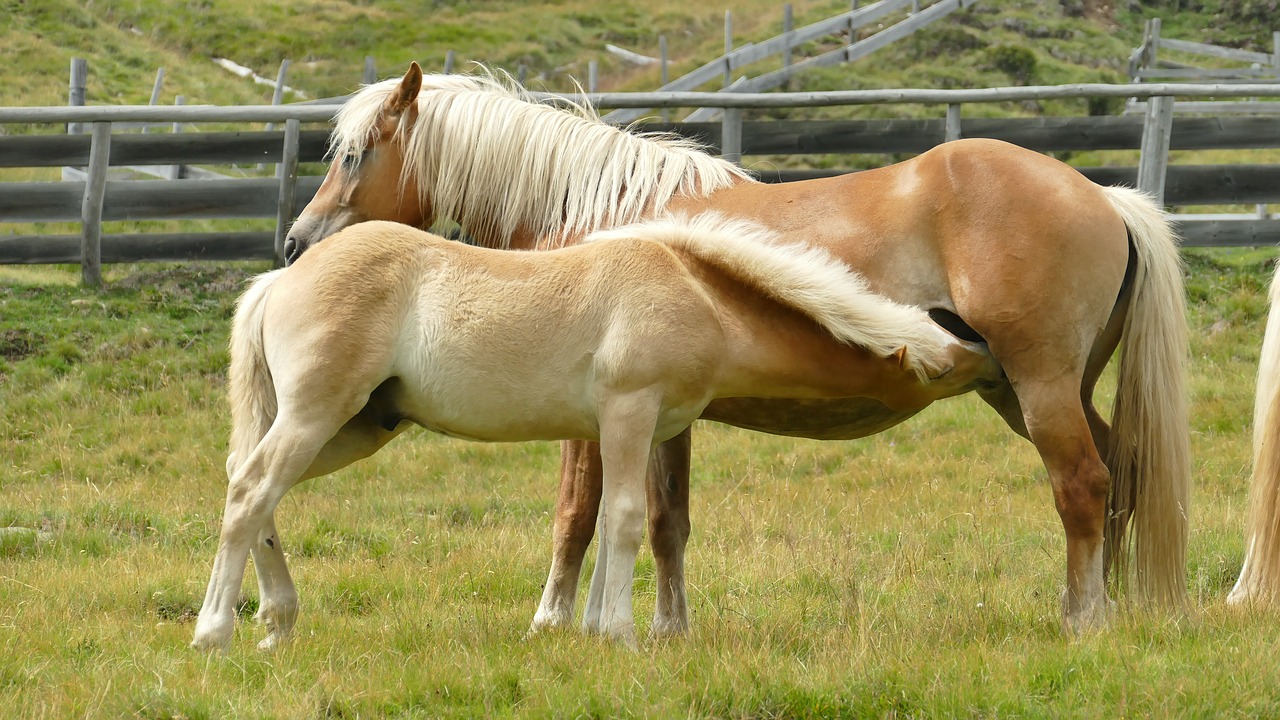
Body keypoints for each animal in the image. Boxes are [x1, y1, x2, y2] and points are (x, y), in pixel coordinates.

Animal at [282, 61, 1187, 632]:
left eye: (355, 155)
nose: (297, 244)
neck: (604, 214)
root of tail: (1102, 197)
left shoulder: (590, 415)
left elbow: (577, 513)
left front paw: (550, 621)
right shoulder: (666, 417)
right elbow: (666, 521)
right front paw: (667, 627)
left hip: (1041, 388)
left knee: (1083, 485)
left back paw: (1083, 619)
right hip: (1033, 393)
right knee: (1121, 476)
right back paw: (1112, 607)